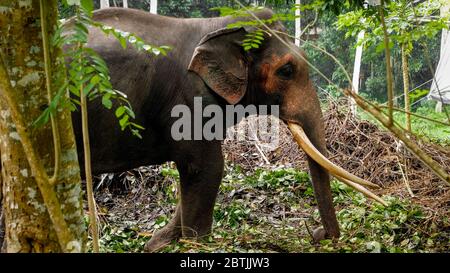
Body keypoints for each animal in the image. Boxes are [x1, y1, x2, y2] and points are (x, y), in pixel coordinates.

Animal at [67, 7, 370, 252]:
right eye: (286, 71)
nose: (318, 235)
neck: (220, 26)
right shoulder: (190, 98)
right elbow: (207, 166)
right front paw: (196, 243)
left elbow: (195, 170)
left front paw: (158, 243)